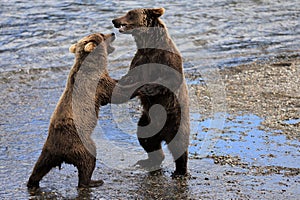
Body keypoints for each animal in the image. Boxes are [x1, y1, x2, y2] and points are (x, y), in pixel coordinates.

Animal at [27, 32, 116, 189]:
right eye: (101, 34)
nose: (113, 33)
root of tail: (61, 153)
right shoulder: (97, 83)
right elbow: (112, 90)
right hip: (79, 143)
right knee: (88, 161)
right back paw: (93, 181)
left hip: (48, 150)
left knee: (40, 167)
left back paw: (32, 183)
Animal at [112, 7, 190, 177]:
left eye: (130, 13)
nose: (114, 20)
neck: (149, 44)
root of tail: (162, 133)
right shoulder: (140, 59)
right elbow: (130, 76)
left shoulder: (166, 58)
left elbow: (170, 78)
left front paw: (146, 88)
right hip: (146, 122)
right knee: (147, 140)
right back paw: (148, 160)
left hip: (175, 120)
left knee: (179, 145)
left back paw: (180, 170)